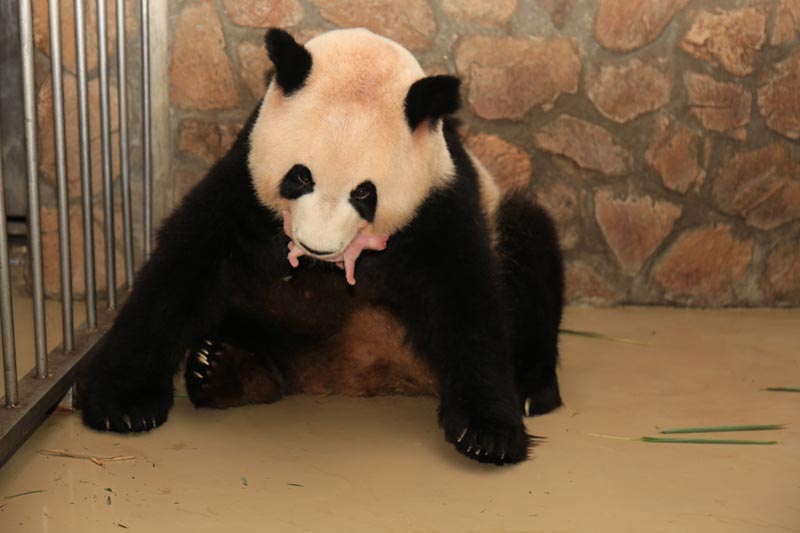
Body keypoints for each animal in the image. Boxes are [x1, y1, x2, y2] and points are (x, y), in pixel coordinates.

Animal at [78, 28, 564, 466]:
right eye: (300, 176)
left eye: (364, 193)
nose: (318, 246)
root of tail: (361, 365)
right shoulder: (244, 184)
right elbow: (183, 268)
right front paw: (120, 402)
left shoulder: (439, 198)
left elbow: (465, 298)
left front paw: (487, 434)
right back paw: (221, 370)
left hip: (503, 217)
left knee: (530, 245)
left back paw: (531, 388)